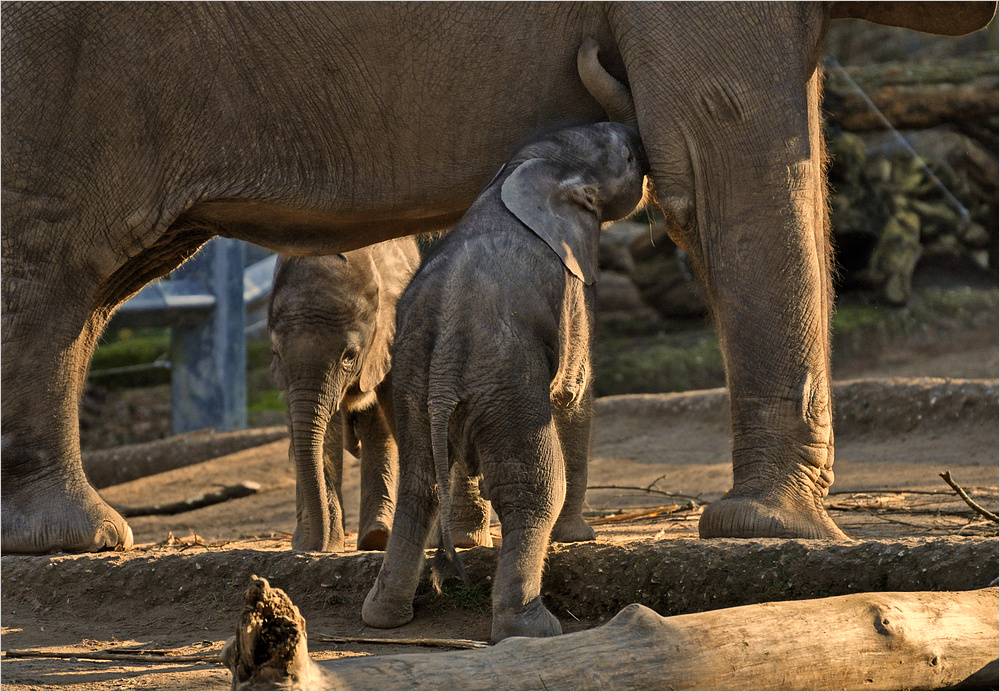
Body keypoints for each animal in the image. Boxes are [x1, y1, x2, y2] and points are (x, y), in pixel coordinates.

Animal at [266, 238, 418, 552]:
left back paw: (377, 538)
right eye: (276, 353)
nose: (314, 545)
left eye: (349, 356)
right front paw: (322, 545)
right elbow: (322, 432)